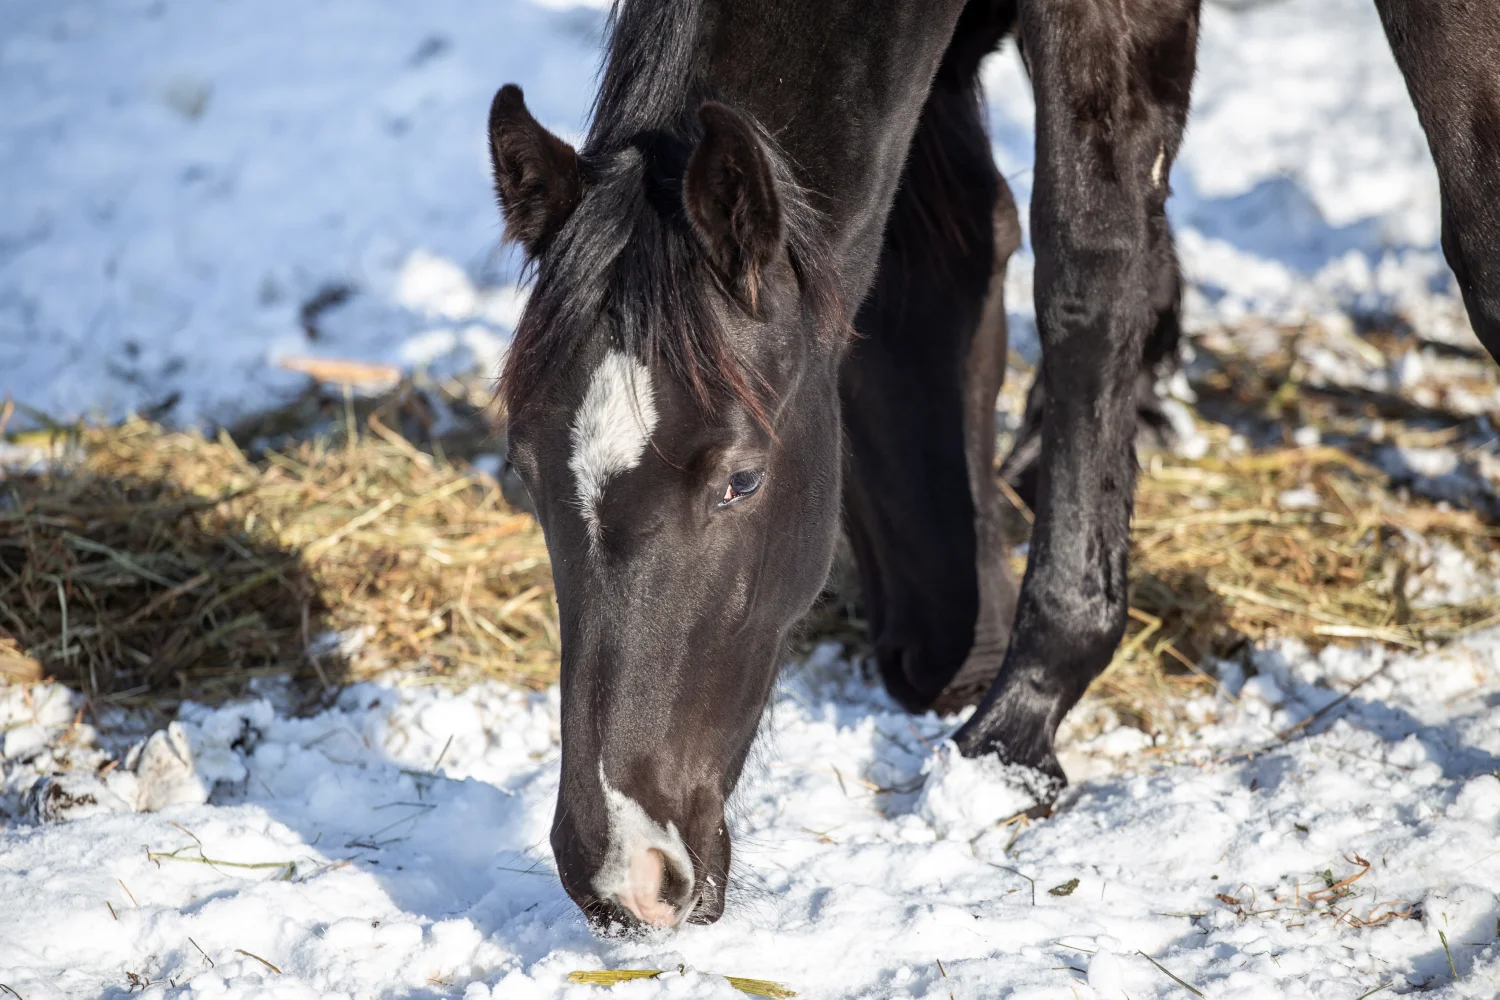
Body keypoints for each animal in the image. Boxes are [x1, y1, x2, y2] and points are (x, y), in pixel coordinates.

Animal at [485, 0, 1500, 930]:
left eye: (742, 478)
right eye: (526, 469)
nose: (623, 872)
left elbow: (1092, 268)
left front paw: (1021, 722)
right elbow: (978, 245)